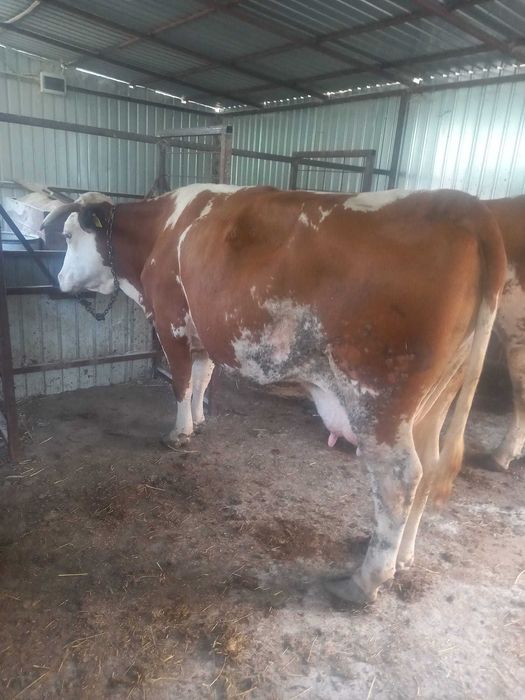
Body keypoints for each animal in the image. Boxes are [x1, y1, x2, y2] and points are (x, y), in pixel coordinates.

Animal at [42, 185, 506, 605]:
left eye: (68, 235)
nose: (59, 280)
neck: (161, 232)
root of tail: (463, 206)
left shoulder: (171, 321)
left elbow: (181, 381)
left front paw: (179, 433)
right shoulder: (203, 330)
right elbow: (204, 376)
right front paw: (200, 421)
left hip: (379, 399)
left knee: (400, 478)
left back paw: (364, 582)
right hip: (436, 399)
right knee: (429, 466)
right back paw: (403, 557)